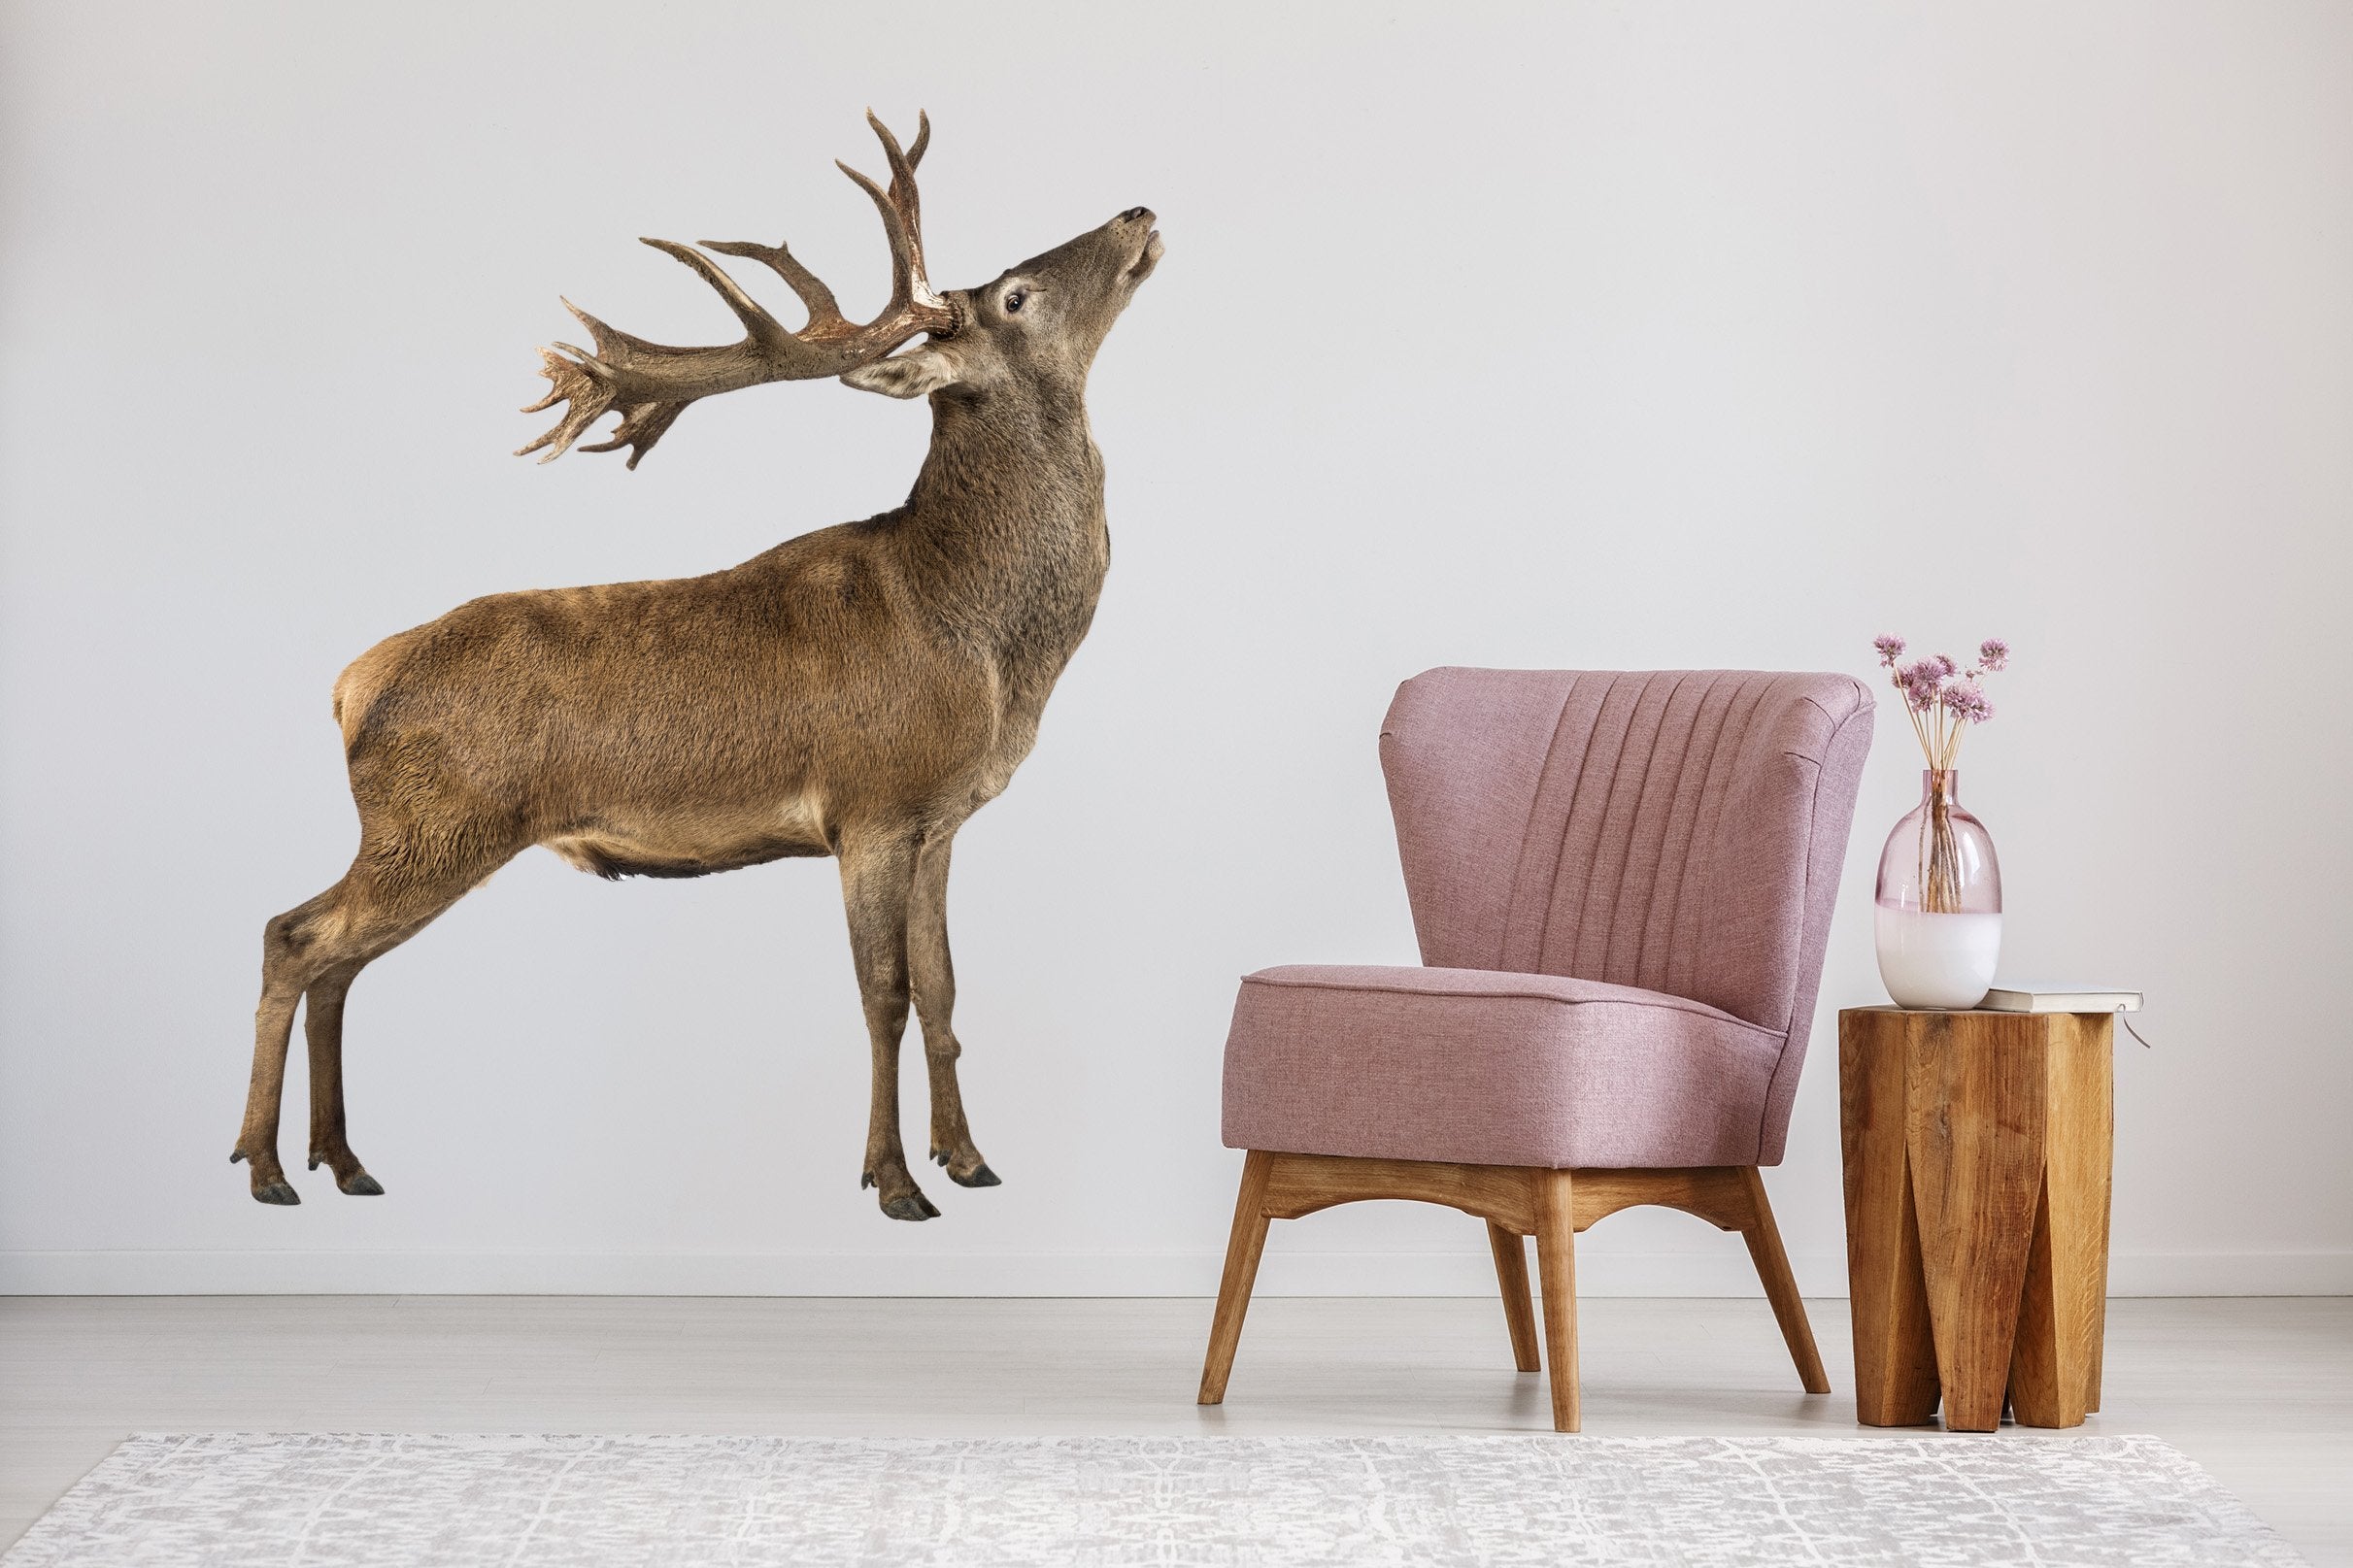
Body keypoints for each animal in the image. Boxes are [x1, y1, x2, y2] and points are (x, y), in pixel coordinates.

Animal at [232, 112, 1162, 1222]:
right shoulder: (870, 805)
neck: (977, 635)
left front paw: (969, 1157)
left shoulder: (939, 819)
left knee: (334, 961)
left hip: (423, 831)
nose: (1137, 211)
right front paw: (893, 1181)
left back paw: (343, 1160)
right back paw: (266, 1166)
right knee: (293, 934)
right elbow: (882, 995)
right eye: (1016, 294)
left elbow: (941, 989)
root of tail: (348, 684)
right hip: (433, 822)